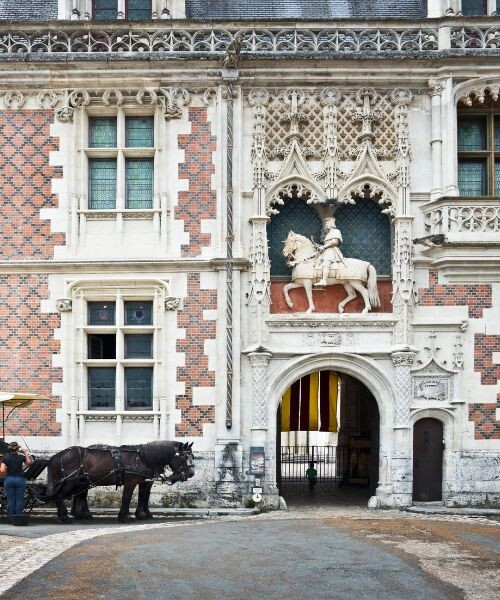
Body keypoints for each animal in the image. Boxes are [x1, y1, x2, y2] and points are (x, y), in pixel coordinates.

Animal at [38, 440, 194, 520]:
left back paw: (81, 514)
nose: (191, 473)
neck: (142, 458)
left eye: (192, 456)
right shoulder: (131, 482)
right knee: (60, 496)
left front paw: (143, 514)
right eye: (183, 457)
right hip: (69, 481)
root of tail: (57, 455)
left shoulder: (145, 482)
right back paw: (64, 516)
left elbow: (144, 497)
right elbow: (127, 497)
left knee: (79, 496)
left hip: (80, 481)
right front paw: (125, 516)